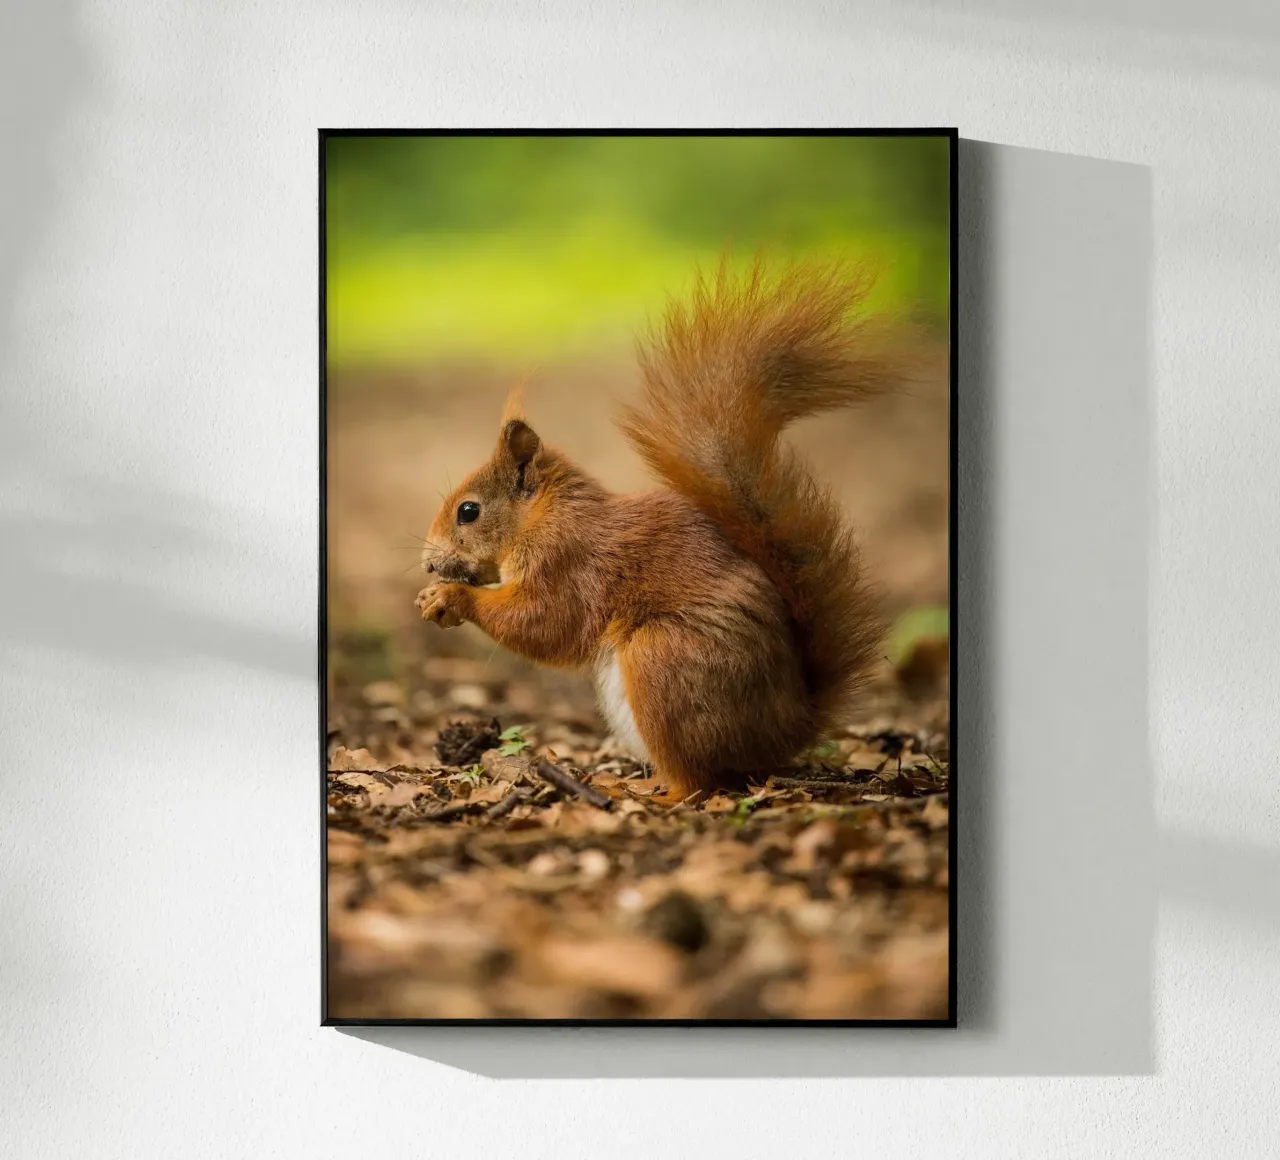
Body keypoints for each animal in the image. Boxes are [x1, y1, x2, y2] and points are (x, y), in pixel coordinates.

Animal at [416, 258, 911, 801]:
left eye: (468, 511)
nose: (428, 563)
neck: (544, 516)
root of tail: (787, 729)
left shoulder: (570, 562)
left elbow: (545, 622)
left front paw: (451, 598)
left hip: (664, 662)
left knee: (698, 783)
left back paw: (636, 791)